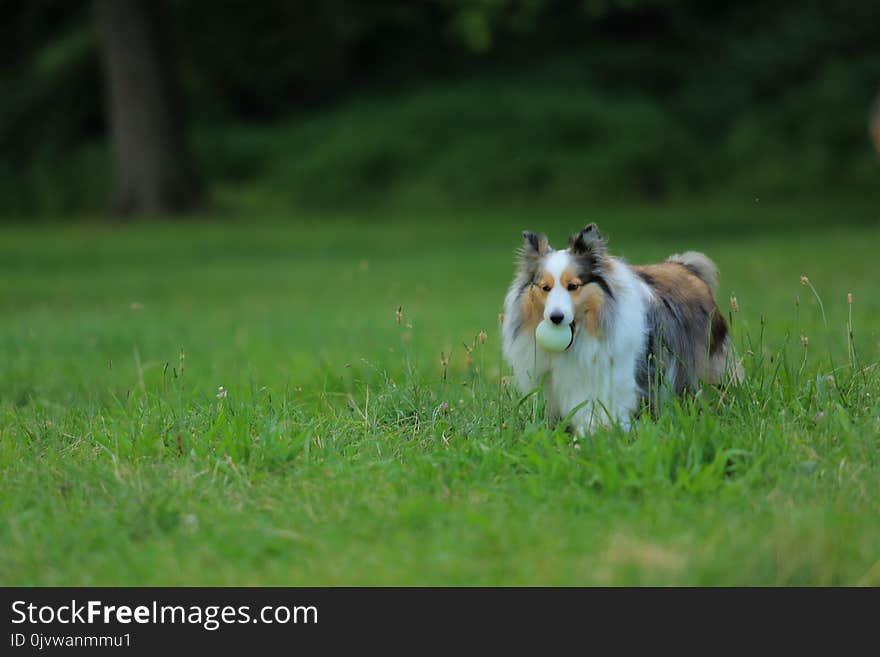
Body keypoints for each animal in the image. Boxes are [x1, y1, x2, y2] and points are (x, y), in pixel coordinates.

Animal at [502, 223, 736, 434]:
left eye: (573, 286)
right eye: (545, 288)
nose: (555, 318)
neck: (584, 335)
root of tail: (686, 266)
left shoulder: (615, 378)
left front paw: (600, 433)